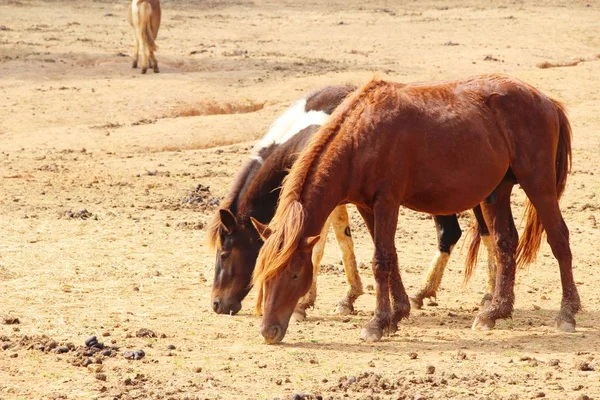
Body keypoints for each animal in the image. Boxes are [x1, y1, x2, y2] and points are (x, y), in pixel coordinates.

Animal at [252, 74, 576, 344]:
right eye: (264, 274)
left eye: (295, 274)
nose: (269, 331)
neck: (361, 137)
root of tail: (547, 101)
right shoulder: (366, 206)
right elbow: (391, 257)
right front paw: (397, 314)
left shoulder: (386, 202)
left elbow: (381, 261)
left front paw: (377, 323)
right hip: (497, 192)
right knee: (505, 243)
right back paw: (494, 313)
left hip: (538, 184)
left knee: (559, 238)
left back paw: (567, 313)